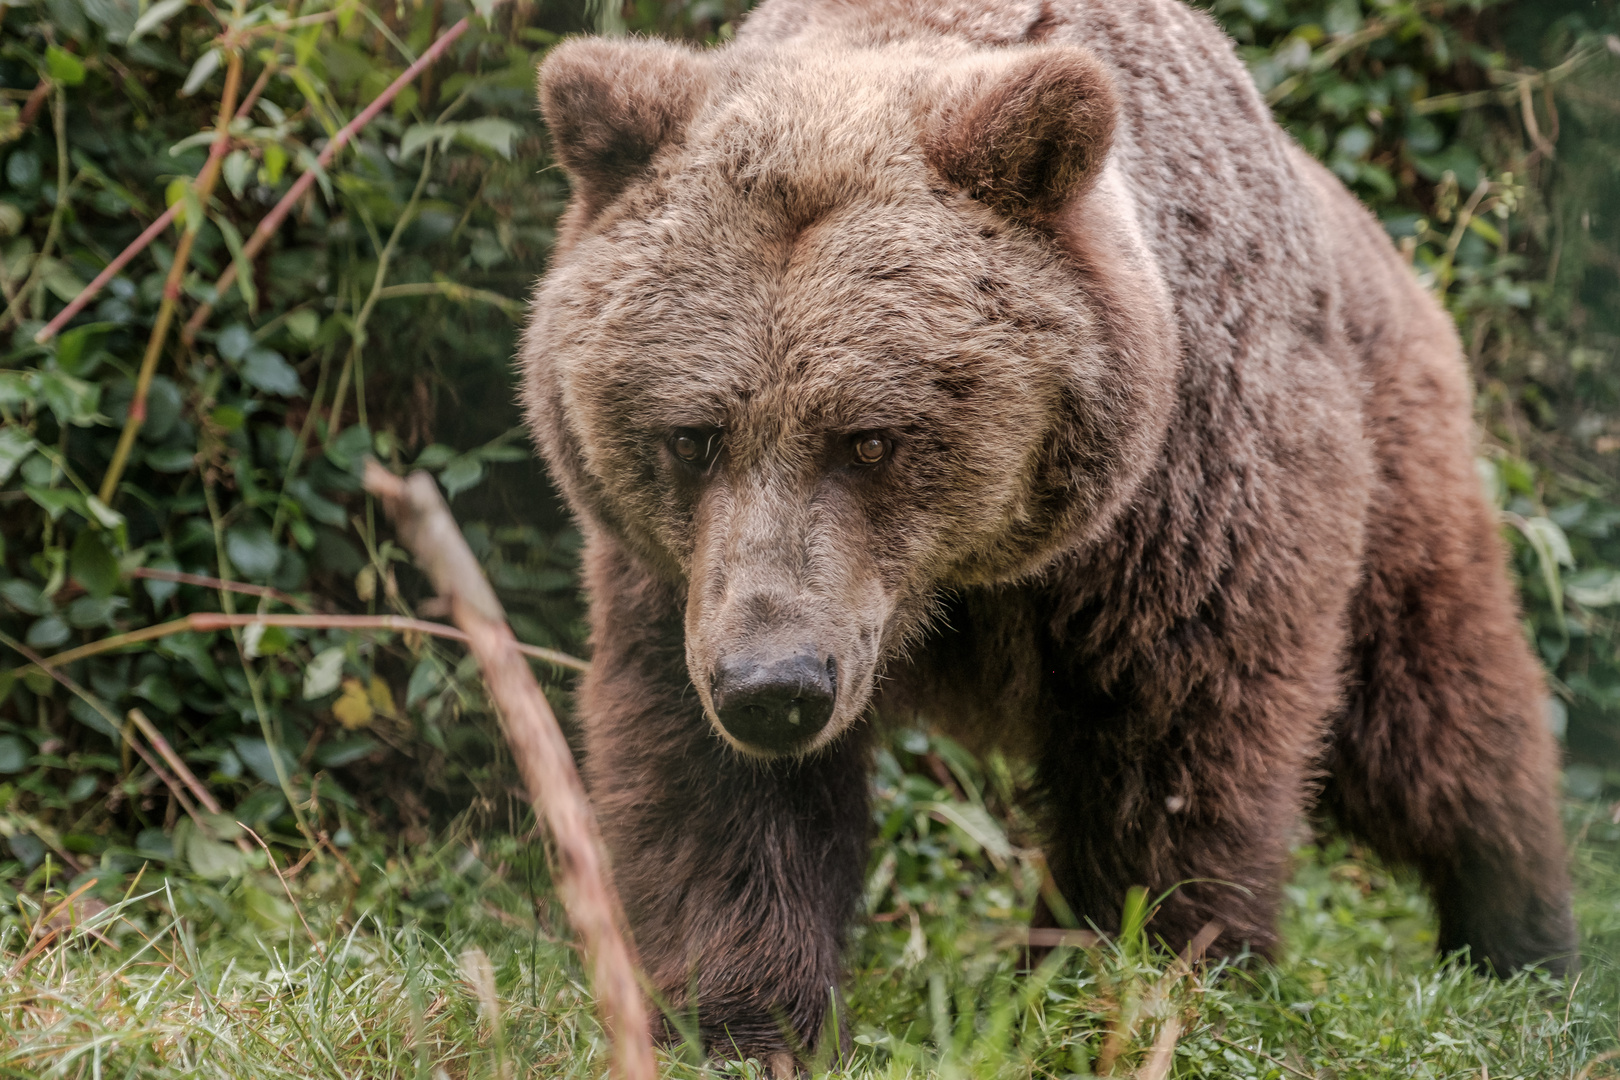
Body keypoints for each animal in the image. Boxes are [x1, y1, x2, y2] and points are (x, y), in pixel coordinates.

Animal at [515, 0, 1568, 1068]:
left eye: (871, 439)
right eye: (693, 436)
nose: (776, 688)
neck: (971, 575)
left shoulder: (1182, 516)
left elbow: (1171, 759)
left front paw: (1120, 986)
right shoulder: (683, 577)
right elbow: (715, 789)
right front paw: (745, 1019)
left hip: (1390, 464)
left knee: (1433, 719)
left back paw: (1523, 941)